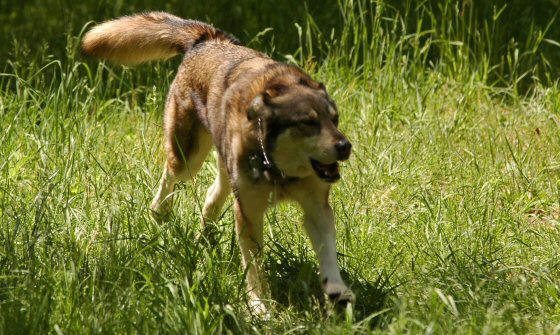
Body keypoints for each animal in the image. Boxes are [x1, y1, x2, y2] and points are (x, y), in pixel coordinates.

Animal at [82, 11, 354, 316]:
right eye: (308, 123)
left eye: (335, 119)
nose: (345, 146)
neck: (279, 169)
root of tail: (209, 38)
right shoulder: (249, 212)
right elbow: (254, 266)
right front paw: (260, 307)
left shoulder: (316, 205)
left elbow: (328, 249)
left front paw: (337, 289)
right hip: (187, 157)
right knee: (169, 179)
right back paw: (160, 213)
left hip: (225, 167)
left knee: (213, 193)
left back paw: (206, 235)